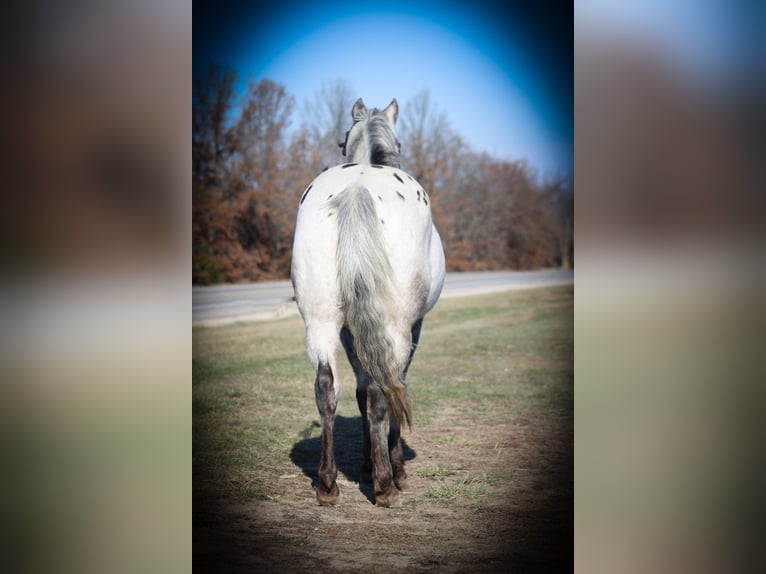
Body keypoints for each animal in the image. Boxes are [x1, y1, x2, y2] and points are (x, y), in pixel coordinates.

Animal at [292, 99, 448, 508]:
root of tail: (356, 188)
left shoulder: (351, 331)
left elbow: (359, 390)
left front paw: (363, 465)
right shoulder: (413, 328)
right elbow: (394, 385)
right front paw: (393, 468)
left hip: (321, 321)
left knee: (326, 387)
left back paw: (327, 483)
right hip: (394, 325)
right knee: (383, 389)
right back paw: (385, 484)